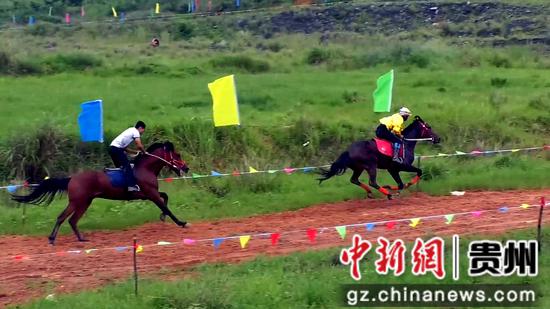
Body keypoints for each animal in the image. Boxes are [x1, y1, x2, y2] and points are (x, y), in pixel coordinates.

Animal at [11, 141, 190, 244]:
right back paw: (58, 239)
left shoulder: (150, 194)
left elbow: (165, 198)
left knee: (68, 219)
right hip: (79, 202)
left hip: (83, 202)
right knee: (66, 218)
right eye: (177, 154)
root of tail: (71, 178)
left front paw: (163, 217)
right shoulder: (151, 194)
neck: (144, 169)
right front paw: (181, 222)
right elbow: (166, 206)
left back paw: (72, 238)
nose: (186, 168)